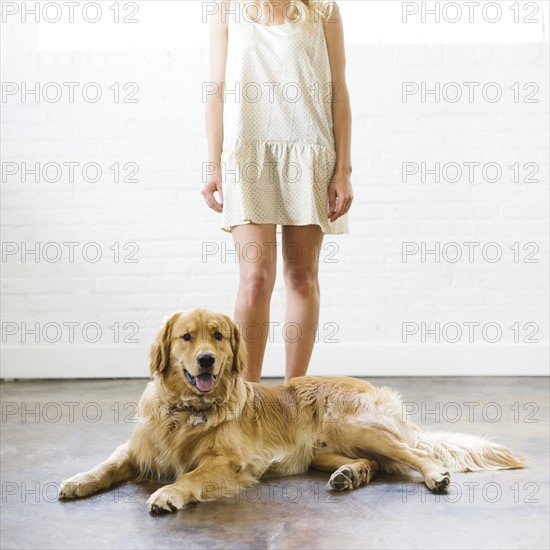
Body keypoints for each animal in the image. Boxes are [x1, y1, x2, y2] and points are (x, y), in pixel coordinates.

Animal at [58, 308, 528, 516]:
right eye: (186, 337)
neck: (189, 410)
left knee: (415, 454)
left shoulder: (227, 463)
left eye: (218, 336)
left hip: (353, 423)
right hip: (327, 448)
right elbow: (106, 464)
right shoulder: (138, 448)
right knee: (376, 464)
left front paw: (168, 493)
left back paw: (434, 476)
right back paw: (348, 476)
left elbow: (190, 476)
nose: (207, 360)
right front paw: (78, 481)